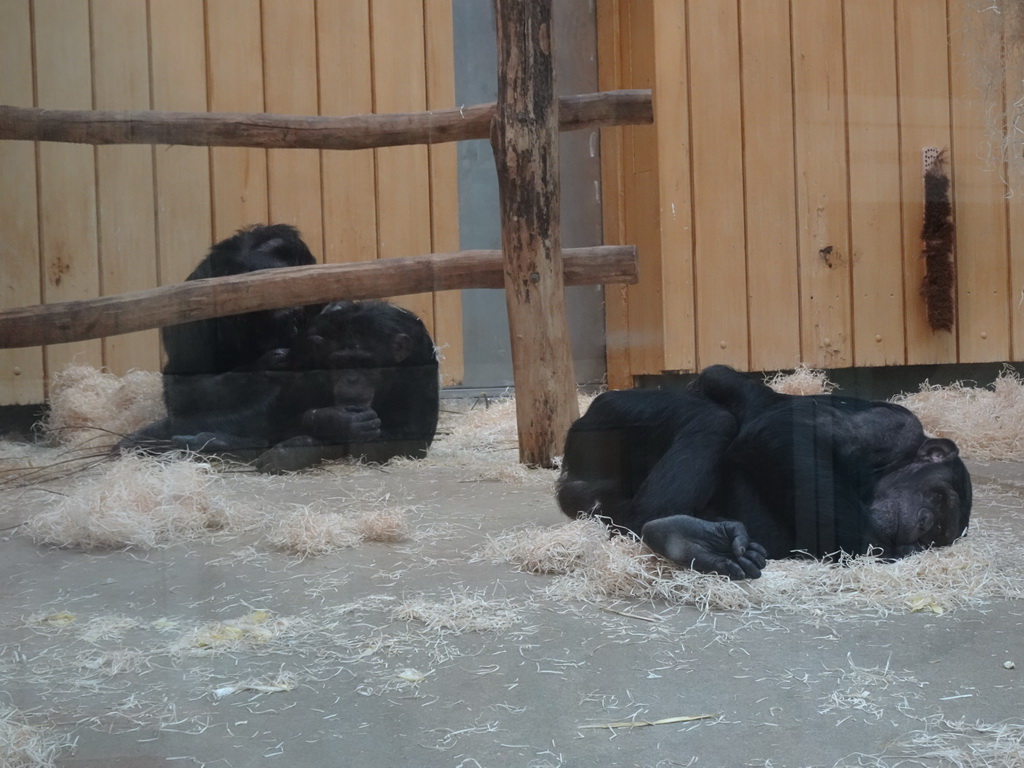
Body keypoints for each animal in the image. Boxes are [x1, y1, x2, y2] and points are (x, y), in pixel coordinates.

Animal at [117, 224, 438, 475]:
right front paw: (333, 420)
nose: (292, 321)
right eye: (266, 303)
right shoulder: (191, 315)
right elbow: (184, 388)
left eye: (294, 300)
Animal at [557, 364, 970, 577]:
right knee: (714, 419)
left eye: (936, 533)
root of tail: (569, 480)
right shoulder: (893, 430)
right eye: (938, 497)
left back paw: (704, 545)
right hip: (604, 425)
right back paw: (682, 535)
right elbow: (782, 431)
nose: (923, 522)